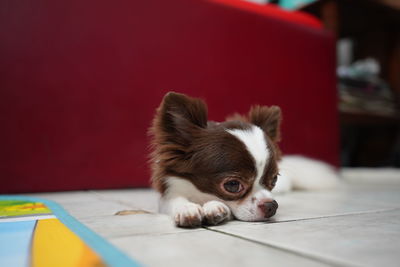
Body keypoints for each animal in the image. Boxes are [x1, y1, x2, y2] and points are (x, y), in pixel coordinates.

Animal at [148, 92, 340, 228]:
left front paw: (215, 207)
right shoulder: (166, 195)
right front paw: (186, 208)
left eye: (274, 180)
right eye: (233, 185)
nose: (272, 205)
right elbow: (176, 200)